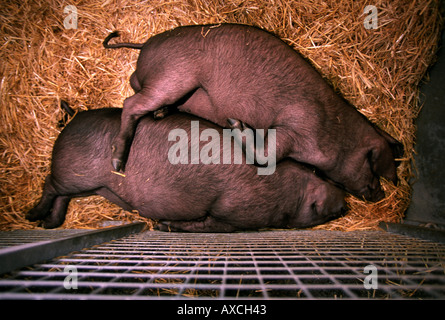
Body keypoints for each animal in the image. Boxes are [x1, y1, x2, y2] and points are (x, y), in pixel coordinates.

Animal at [26, 103, 346, 232]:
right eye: (322, 212)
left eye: (318, 172)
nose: (344, 204)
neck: (287, 192)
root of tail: (73, 117)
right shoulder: (229, 216)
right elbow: (206, 227)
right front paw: (163, 226)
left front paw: (162, 225)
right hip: (74, 174)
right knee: (49, 184)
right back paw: (32, 216)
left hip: (90, 186)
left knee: (61, 196)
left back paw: (48, 224)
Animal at [103, 23, 402, 201]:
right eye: (371, 165)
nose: (380, 194)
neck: (333, 129)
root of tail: (146, 44)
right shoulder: (295, 125)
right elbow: (266, 156)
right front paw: (236, 123)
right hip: (174, 76)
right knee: (131, 104)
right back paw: (118, 163)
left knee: (134, 86)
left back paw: (160, 114)